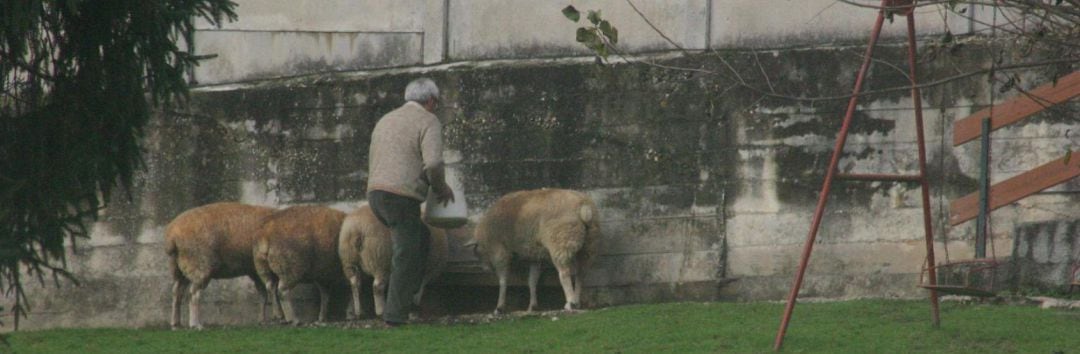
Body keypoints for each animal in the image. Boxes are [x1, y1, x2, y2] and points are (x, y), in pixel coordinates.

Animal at [470, 189, 604, 312]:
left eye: (477, 252)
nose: (484, 269)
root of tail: (584, 207)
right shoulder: (534, 257)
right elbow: (532, 281)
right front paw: (532, 306)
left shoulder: (499, 252)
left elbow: (503, 280)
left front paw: (499, 307)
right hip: (589, 244)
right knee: (581, 274)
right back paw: (577, 302)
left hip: (560, 242)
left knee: (565, 273)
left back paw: (570, 303)